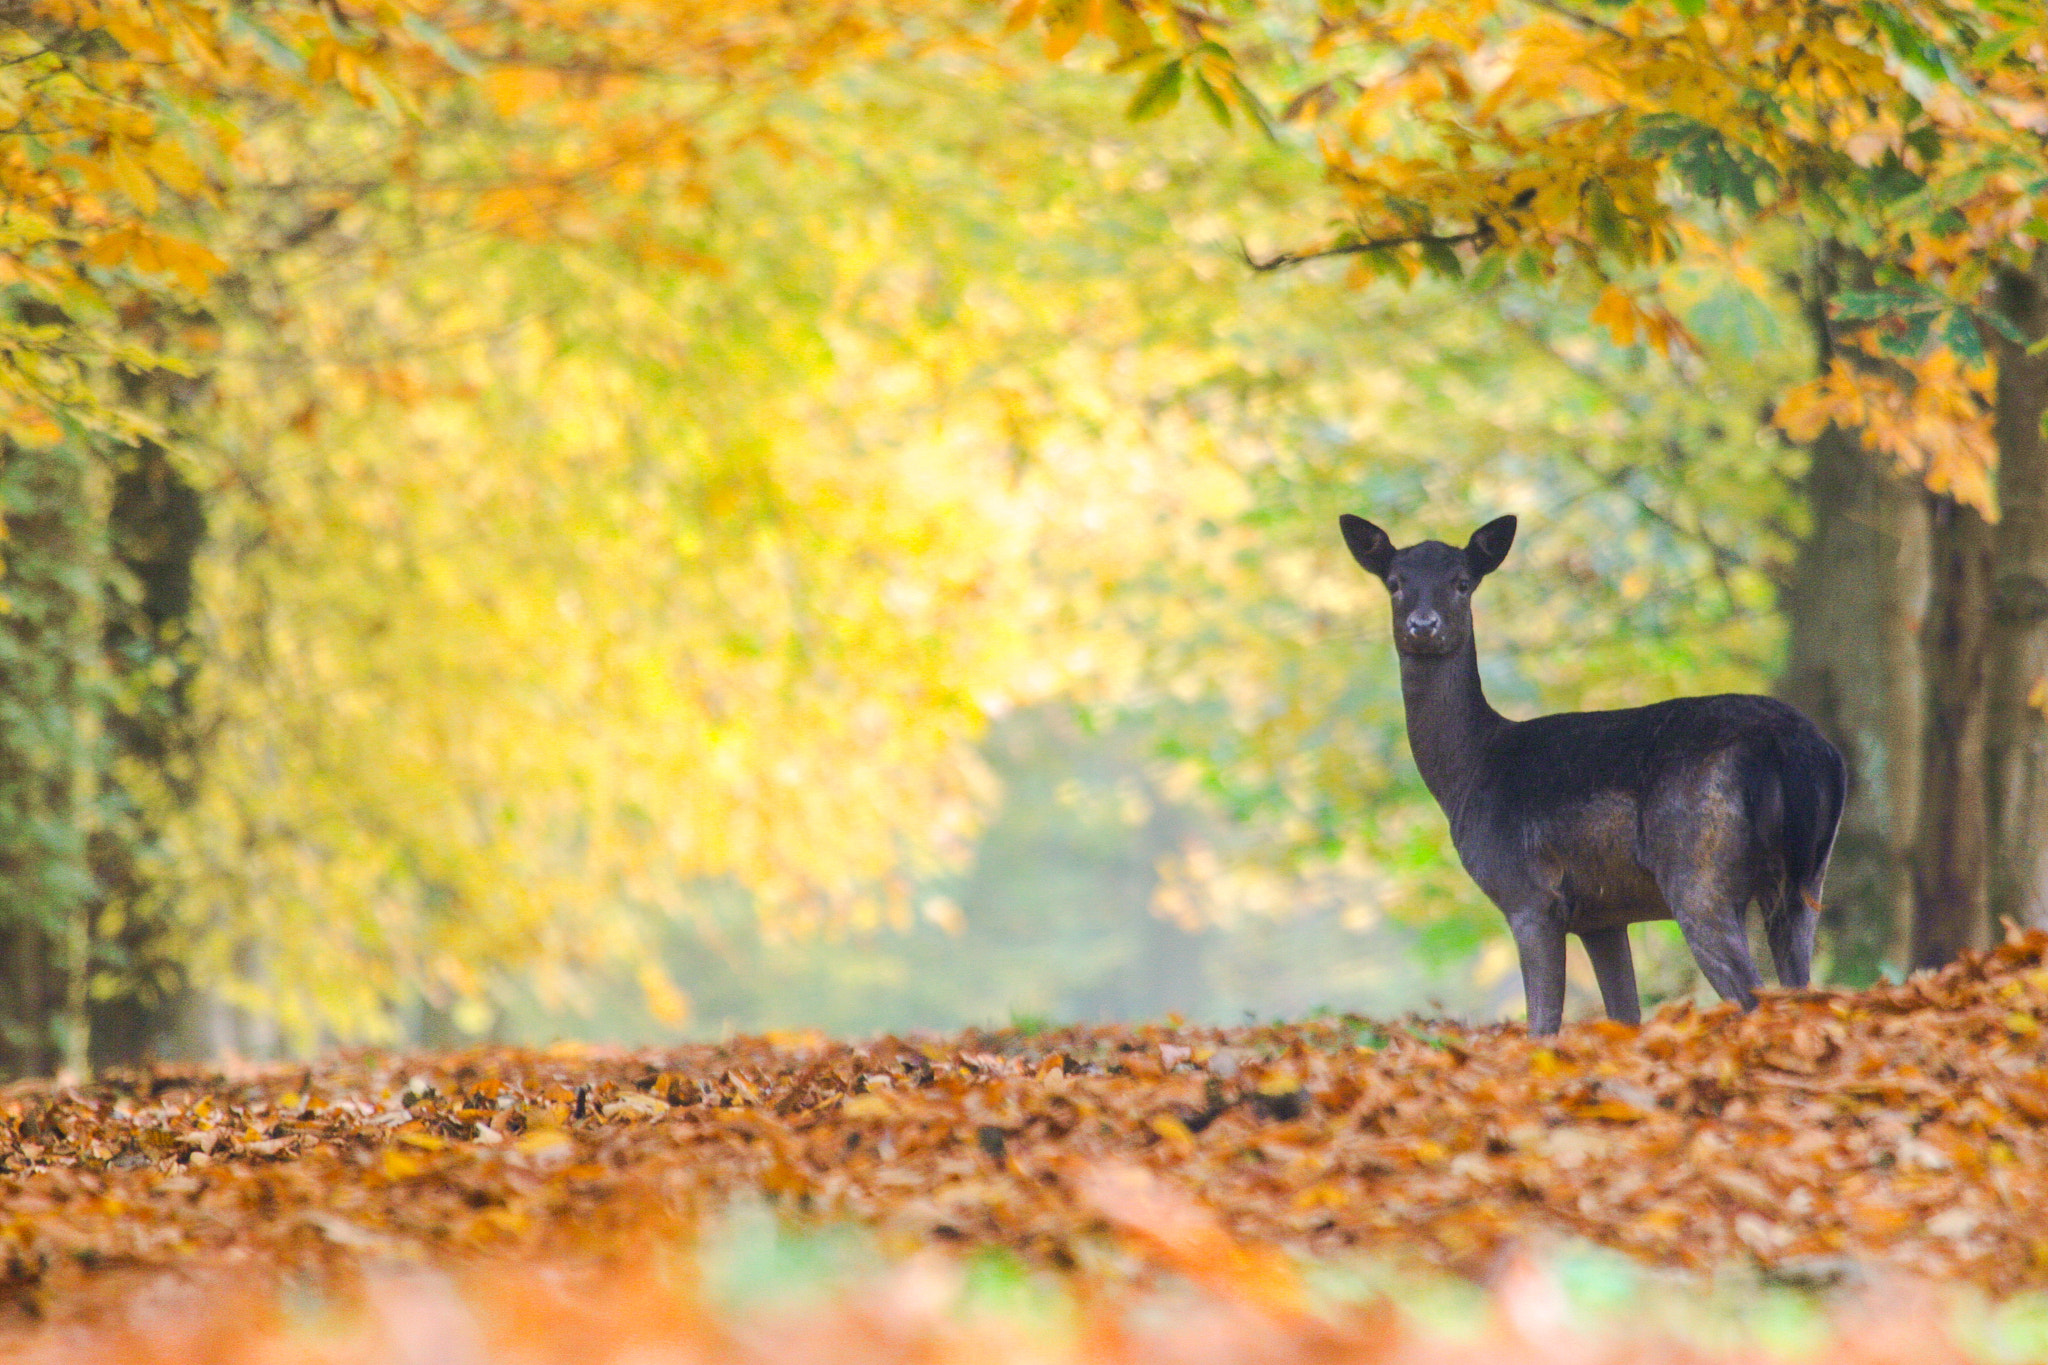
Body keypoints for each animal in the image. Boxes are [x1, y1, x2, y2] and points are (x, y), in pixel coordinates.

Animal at [1339, 513, 1847, 1035]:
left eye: (1462, 583)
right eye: (1395, 583)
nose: (1424, 625)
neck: (1468, 773)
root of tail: (1790, 745)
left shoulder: (1528, 895)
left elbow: (1542, 1024)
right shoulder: (1601, 915)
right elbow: (1624, 1015)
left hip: (1698, 871)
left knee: (1750, 993)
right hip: (1809, 877)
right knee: (1803, 987)